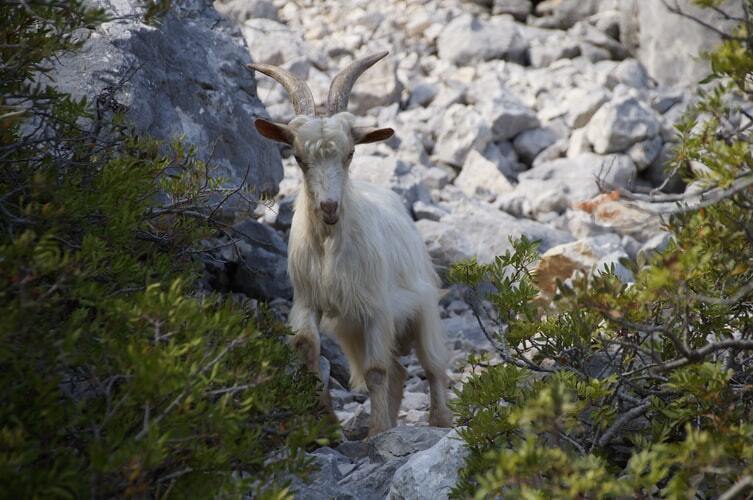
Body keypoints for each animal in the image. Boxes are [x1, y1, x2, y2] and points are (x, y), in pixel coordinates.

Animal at [250, 50, 450, 434]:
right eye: (298, 156)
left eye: (350, 154)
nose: (329, 207)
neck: (331, 246)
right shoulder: (309, 300)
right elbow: (308, 348)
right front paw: (326, 424)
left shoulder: (376, 308)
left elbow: (375, 371)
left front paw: (378, 432)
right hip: (350, 327)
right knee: (400, 371)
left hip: (421, 307)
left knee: (433, 366)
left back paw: (440, 421)